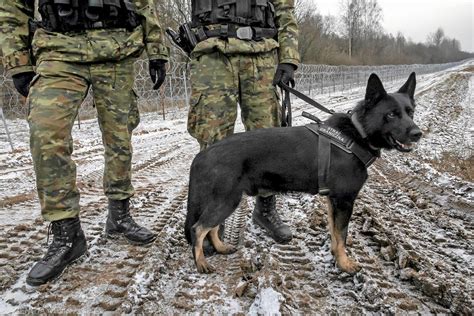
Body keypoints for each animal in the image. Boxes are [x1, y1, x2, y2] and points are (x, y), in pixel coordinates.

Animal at [184, 73, 422, 272]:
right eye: (391, 114)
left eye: (410, 112)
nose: (418, 133)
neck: (357, 132)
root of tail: (203, 154)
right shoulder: (345, 201)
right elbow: (342, 235)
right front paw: (344, 263)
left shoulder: (333, 201)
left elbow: (335, 233)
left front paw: (335, 255)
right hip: (227, 199)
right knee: (199, 228)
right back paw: (201, 262)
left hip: (226, 200)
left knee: (211, 227)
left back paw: (221, 247)